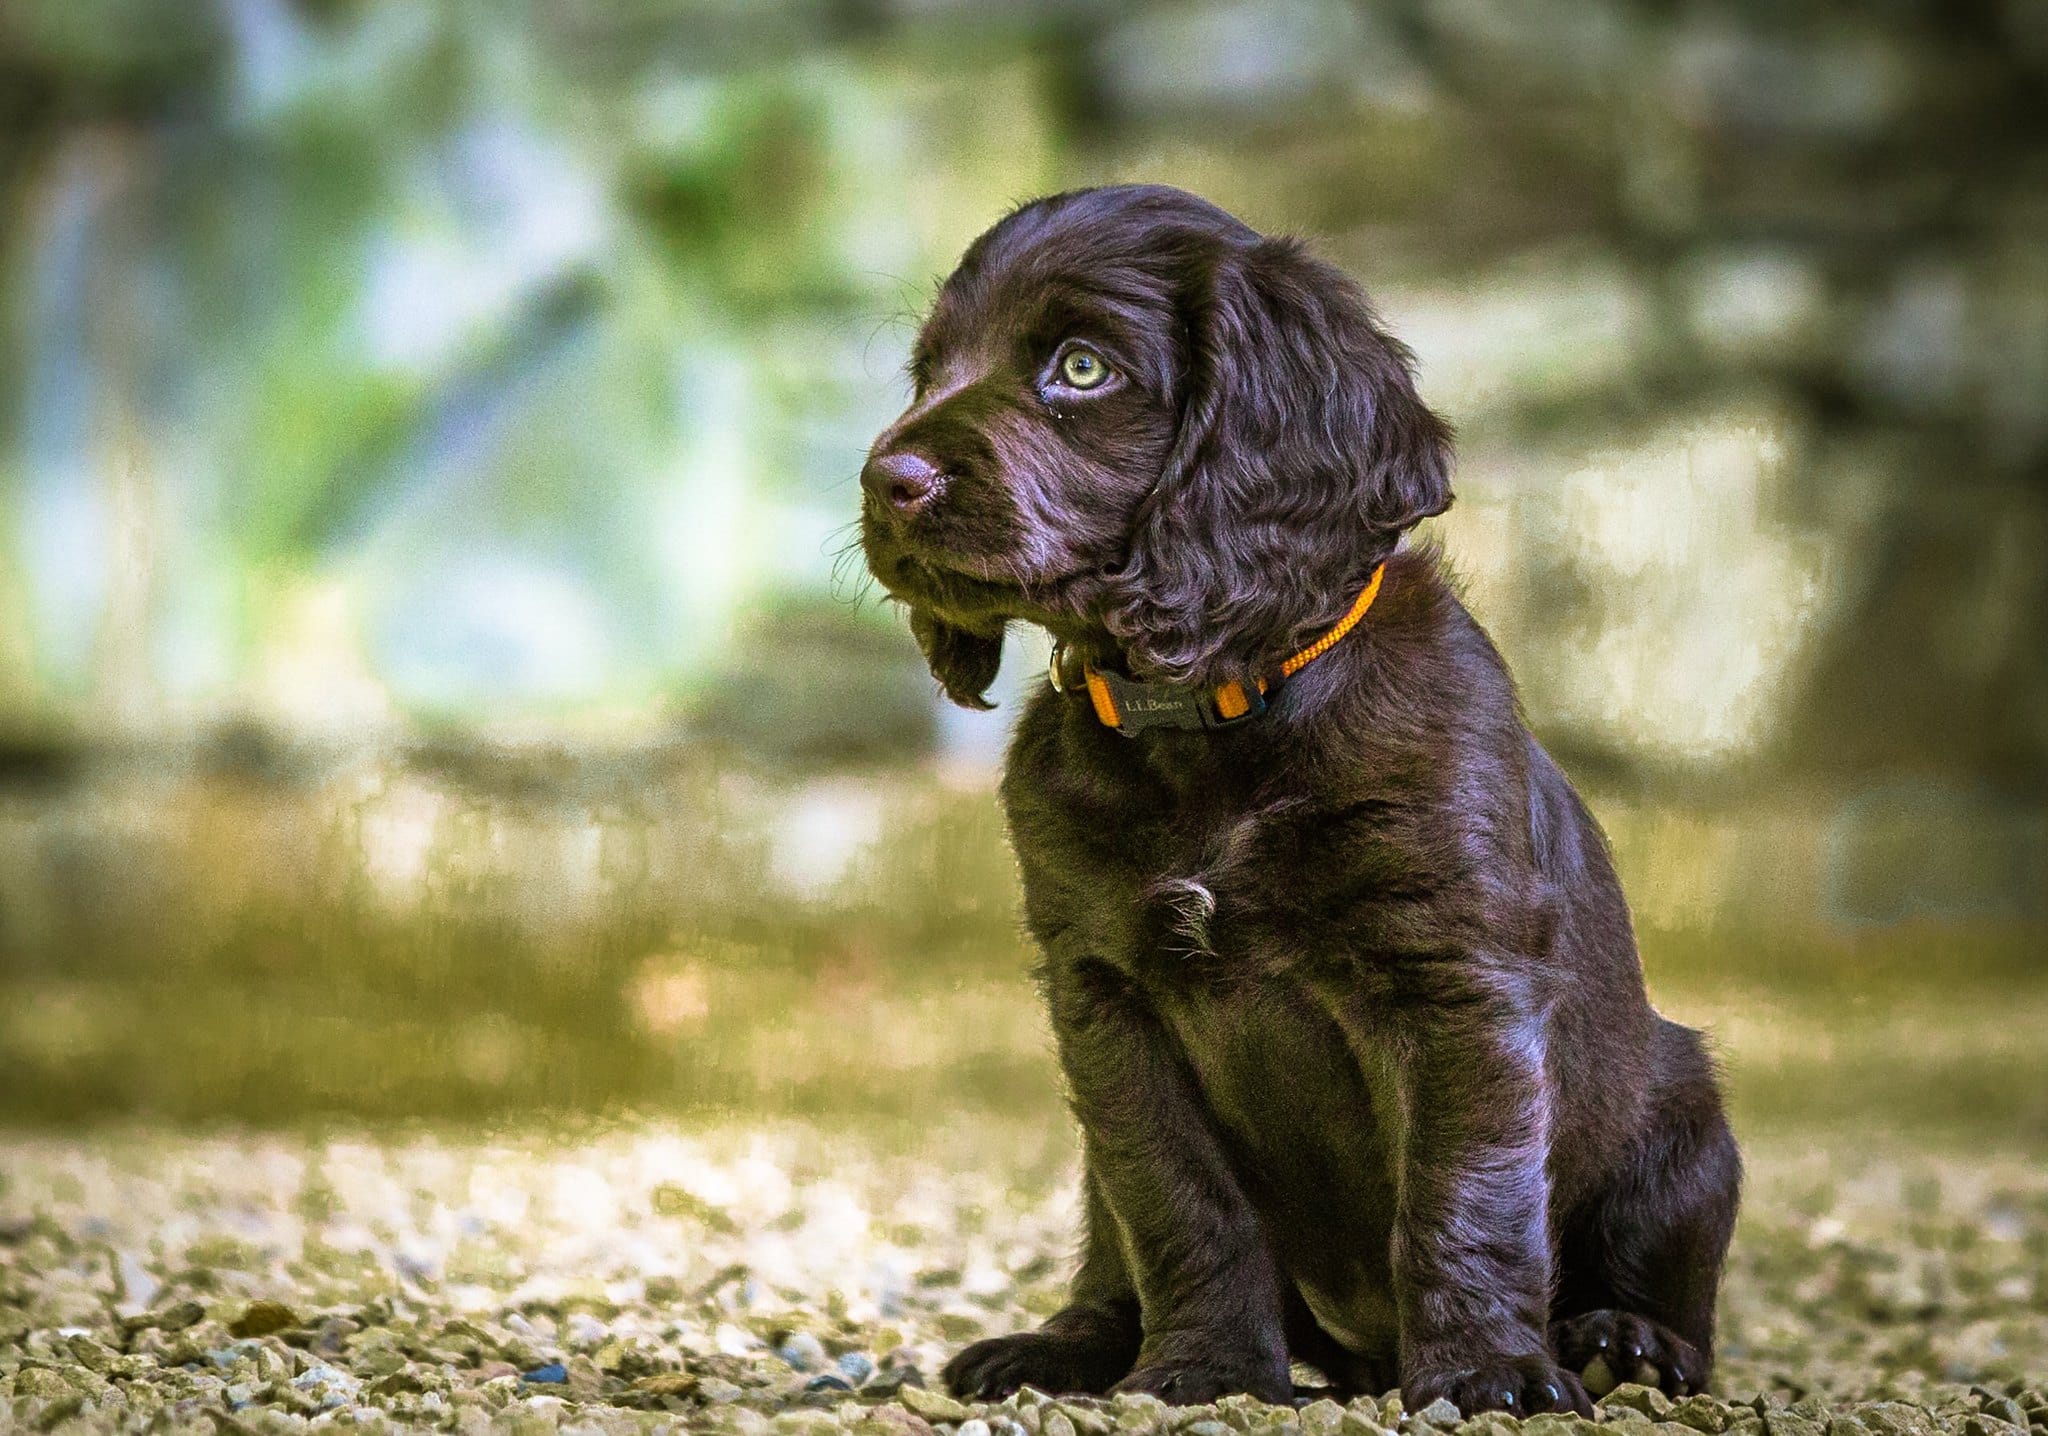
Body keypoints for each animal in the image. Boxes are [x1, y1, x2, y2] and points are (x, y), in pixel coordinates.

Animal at [856, 187, 1736, 1409]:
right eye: (930, 368)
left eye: (1079, 367)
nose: (883, 481)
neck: (1208, 713)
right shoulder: (1106, 1000)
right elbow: (1177, 1202)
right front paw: (1206, 1368)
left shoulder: (1452, 979)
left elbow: (1463, 1195)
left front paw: (1487, 1372)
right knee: (1106, 1242)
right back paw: (1061, 1345)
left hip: (1681, 1116)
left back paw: (1625, 1343)